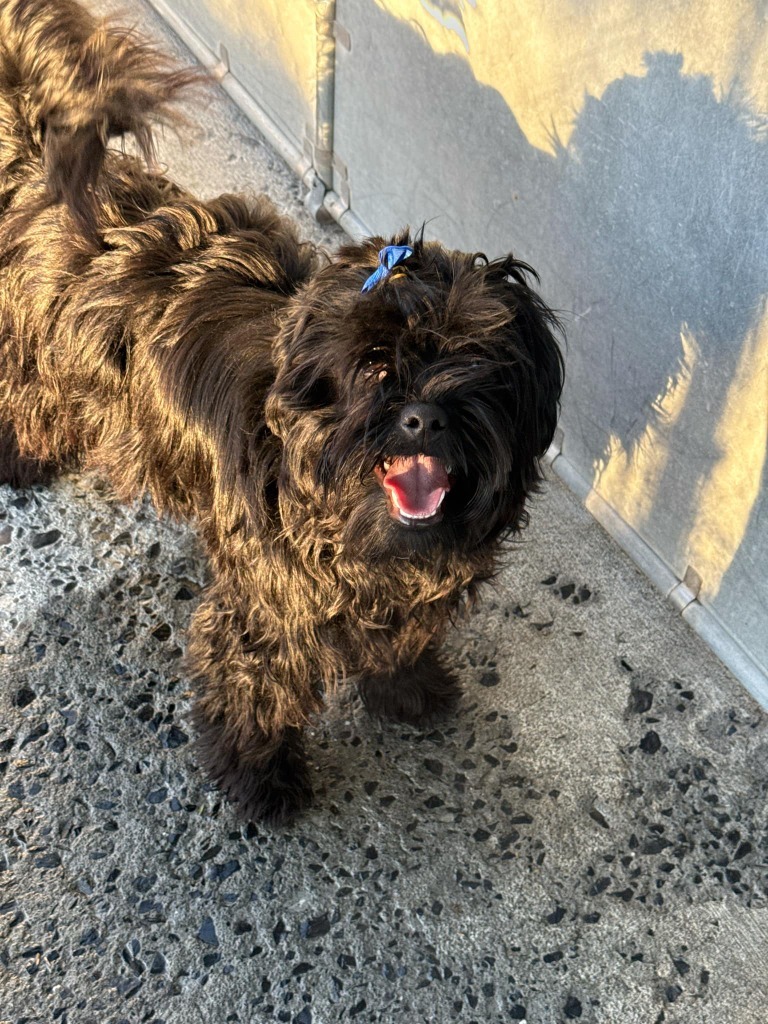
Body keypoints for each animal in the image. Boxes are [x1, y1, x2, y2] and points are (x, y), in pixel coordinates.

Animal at [0, 0, 565, 819]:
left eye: (477, 367)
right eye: (372, 363)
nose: (425, 415)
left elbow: (400, 642)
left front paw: (408, 691)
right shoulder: (266, 607)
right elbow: (256, 687)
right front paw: (261, 780)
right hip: (39, 368)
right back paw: (19, 460)